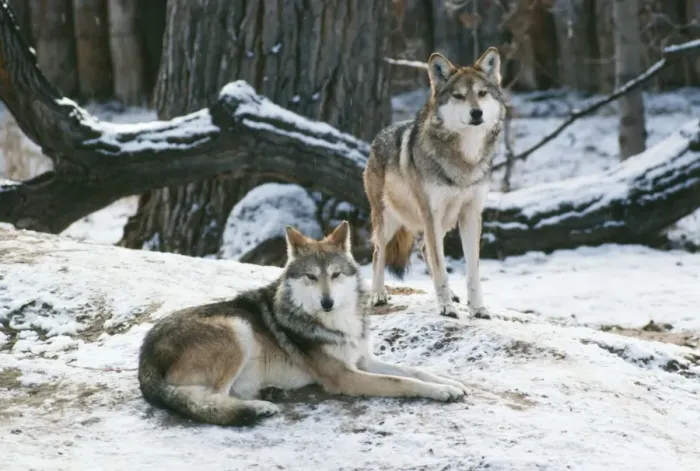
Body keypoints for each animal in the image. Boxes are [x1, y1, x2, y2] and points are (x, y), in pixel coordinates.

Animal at [138, 221, 468, 426]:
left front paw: (451, 383)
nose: (327, 302)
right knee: (210, 400)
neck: (337, 322)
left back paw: (269, 394)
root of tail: (144, 357)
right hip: (237, 328)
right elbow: (402, 382)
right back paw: (260, 407)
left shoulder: (362, 359)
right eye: (311, 276)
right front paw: (440, 392)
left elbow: (415, 371)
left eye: (335, 275)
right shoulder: (346, 377)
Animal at [363, 47, 506, 319]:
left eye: (481, 94)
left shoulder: (471, 214)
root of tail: (377, 136)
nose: (476, 113)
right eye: (459, 96)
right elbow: (440, 265)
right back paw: (378, 294)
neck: (464, 158)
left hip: (444, 222)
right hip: (389, 220)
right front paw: (446, 307)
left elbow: (473, 270)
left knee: (423, 250)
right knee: (378, 252)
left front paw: (477, 308)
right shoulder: (431, 214)